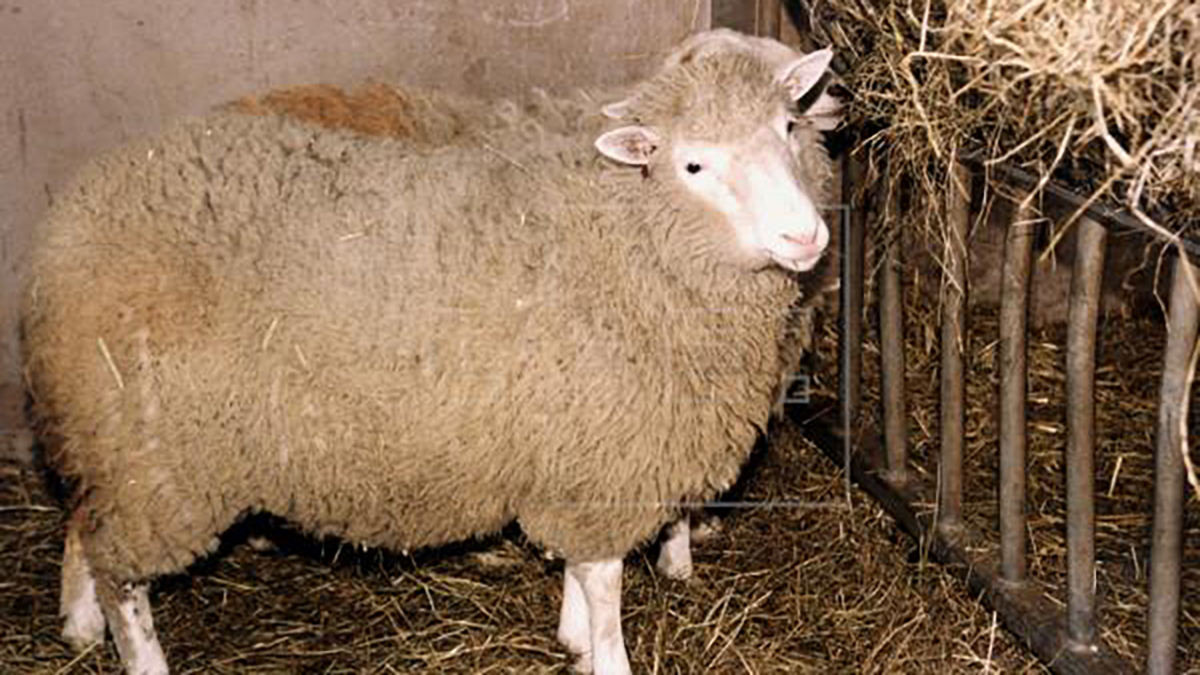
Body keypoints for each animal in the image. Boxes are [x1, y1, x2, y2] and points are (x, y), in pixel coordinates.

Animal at [23, 46, 835, 675]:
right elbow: (604, 585)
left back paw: (78, 626)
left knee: (83, 519)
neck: (620, 235)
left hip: (108, 433)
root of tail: (69, 224)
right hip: (158, 456)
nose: (807, 238)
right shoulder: (602, 458)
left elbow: (581, 571)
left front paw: (571, 636)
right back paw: (134, 651)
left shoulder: (570, 450)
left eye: (787, 126)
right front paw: (603, 654)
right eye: (693, 164)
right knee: (125, 578)